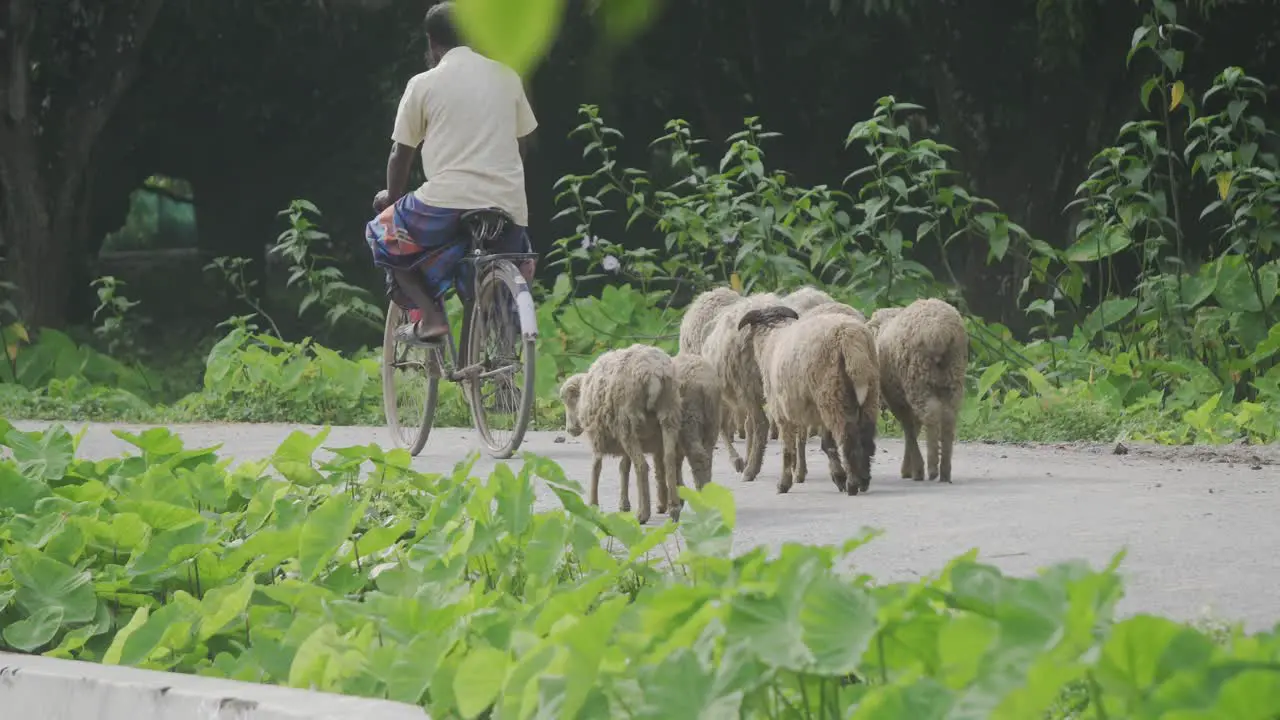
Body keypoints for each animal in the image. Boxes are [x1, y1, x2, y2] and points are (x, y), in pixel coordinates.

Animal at [558, 340, 680, 520]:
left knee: (641, 465)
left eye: (569, 401)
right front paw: (624, 504)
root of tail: (654, 373)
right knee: (669, 459)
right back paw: (674, 509)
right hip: (668, 415)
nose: (569, 429)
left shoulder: (598, 435)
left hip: (627, 421)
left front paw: (593, 504)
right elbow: (624, 466)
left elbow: (596, 466)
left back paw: (643, 514)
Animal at [742, 302, 880, 491]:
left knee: (847, 437)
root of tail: (848, 336)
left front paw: (783, 484)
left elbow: (788, 449)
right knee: (866, 436)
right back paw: (864, 480)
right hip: (868, 392)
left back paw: (852, 484)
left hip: (831, 394)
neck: (771, 338)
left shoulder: (781, 411)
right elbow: (827, 444)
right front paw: (838, 476)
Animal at [870, 297, 967, 481]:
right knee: (949, 417)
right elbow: (914, 427)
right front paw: (910, 468)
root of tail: (939, 331)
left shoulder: (896, 399)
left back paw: (932, 467)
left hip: (918, 379)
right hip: (953, 378)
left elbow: (909, 429)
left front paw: (914, 470)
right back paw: (945, 470)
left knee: (932, 414)